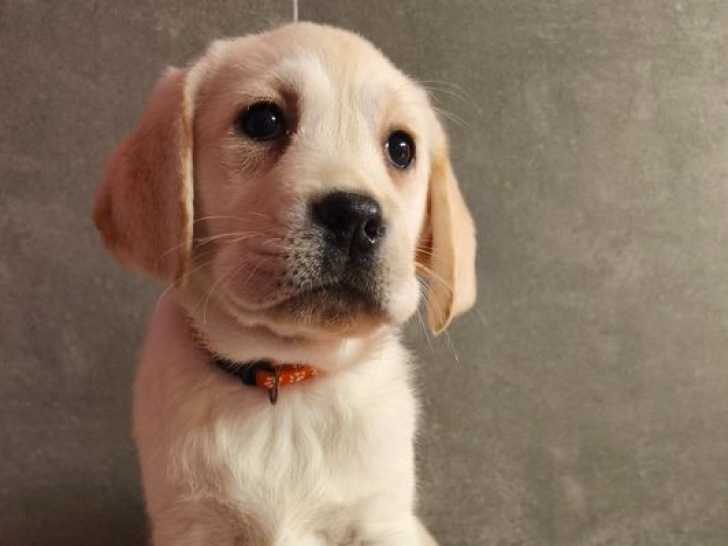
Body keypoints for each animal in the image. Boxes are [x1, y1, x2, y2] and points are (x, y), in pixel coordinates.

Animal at [94, 22, 476, 546]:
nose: (355, 216)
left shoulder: (381, 521)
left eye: (401, 149)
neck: (287, 381)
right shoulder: (191, 523)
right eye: (263, 120)